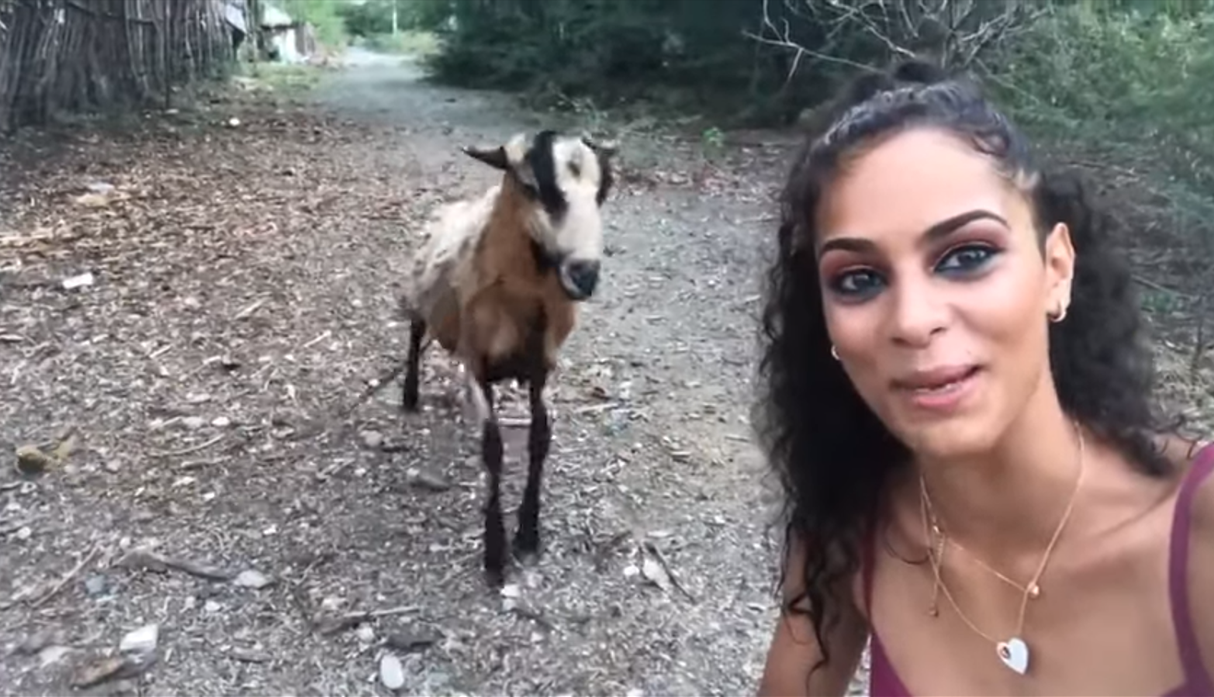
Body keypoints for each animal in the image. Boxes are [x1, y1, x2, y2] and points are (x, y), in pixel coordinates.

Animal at [399, 129, 617, 585]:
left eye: (602, 191)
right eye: (531, 185)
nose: (585, 274)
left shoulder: (543, 367)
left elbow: (540, 439)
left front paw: (528, 534)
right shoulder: (477, 363)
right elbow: (494, 448)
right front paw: (495, 551)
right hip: (419, 294)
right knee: (414, 333)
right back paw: (409, 394)